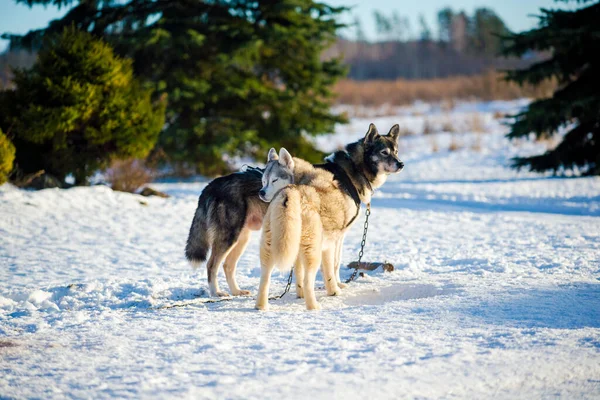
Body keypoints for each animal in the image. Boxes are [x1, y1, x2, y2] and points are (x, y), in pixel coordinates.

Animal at [255, 123, 406, 310]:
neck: (352, 170)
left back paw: (262, 305)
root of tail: (290, 194)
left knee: (265, 277)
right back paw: (314, 306)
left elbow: (299, 270)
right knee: (309, 277)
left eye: (396, 151)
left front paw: (300, 293)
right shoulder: (337, 236)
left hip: (271, 245)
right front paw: (337, 287)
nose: (400, 164)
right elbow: (335, 263)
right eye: (384, 152)